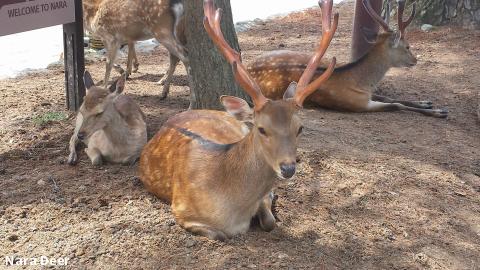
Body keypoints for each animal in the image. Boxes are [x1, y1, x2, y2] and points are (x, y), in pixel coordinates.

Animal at [139, 0, 338, 240]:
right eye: (262, 129)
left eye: (300, 128)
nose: (288, 168)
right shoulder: (181, 210)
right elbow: (220, 235)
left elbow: (269, 221)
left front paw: (273, 204)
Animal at [249, 0, 448, 118]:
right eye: (407, 46)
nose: (415, 60)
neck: (361, 82)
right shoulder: (358, 104)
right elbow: (396, 104)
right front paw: (439, 111)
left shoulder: (368, 94)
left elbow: (389, 97)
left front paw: (426, 102)